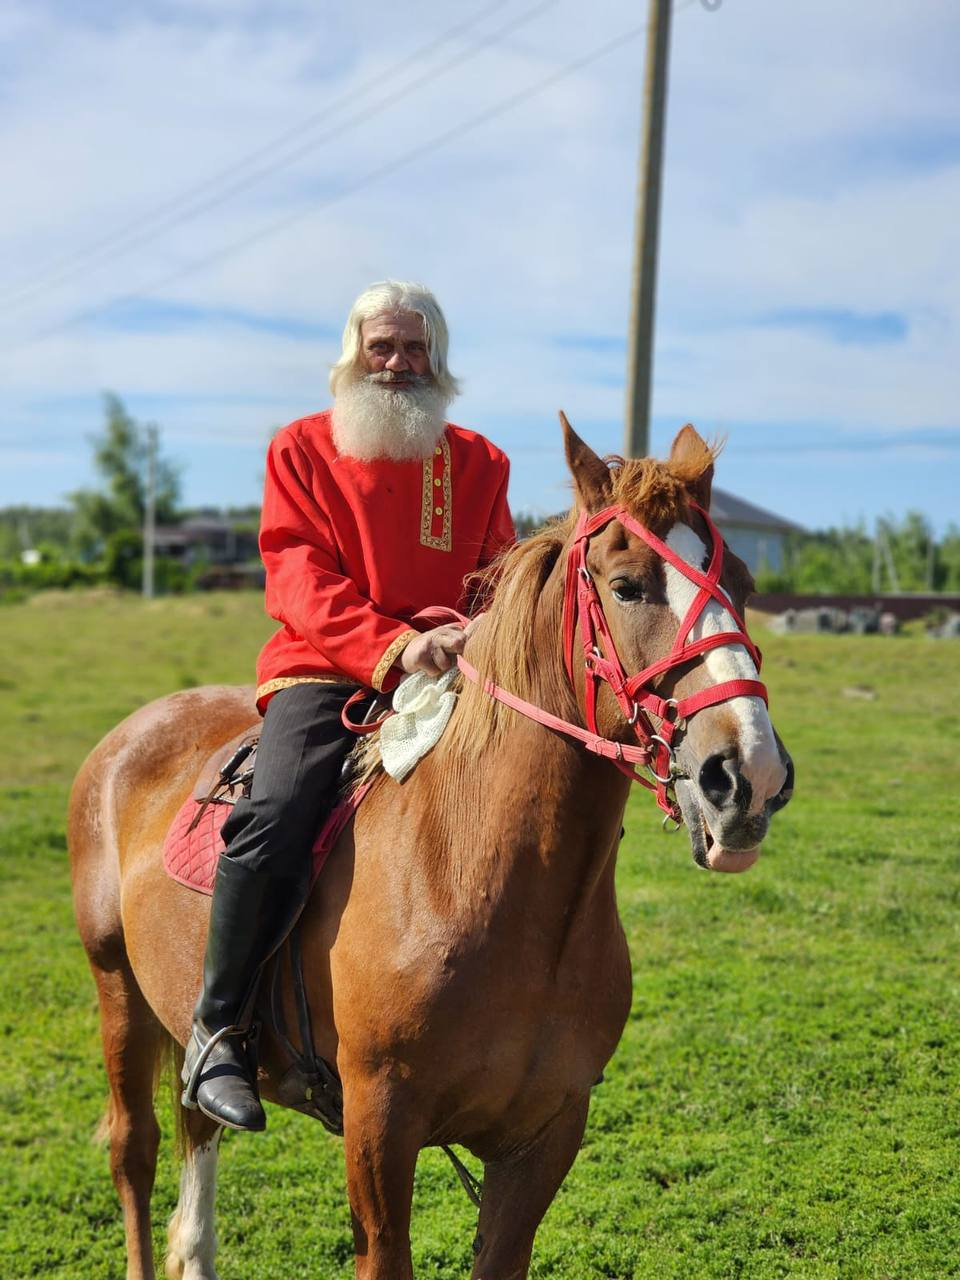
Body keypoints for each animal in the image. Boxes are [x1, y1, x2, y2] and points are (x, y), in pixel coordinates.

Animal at [69, 422, 798, 1280]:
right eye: (626, 586)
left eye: (744, 583)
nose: (747, 774)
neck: (473, 880)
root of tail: (134, 731)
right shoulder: (379, 1128)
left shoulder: (544, 1138)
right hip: (117, 989)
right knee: (135, 1150)